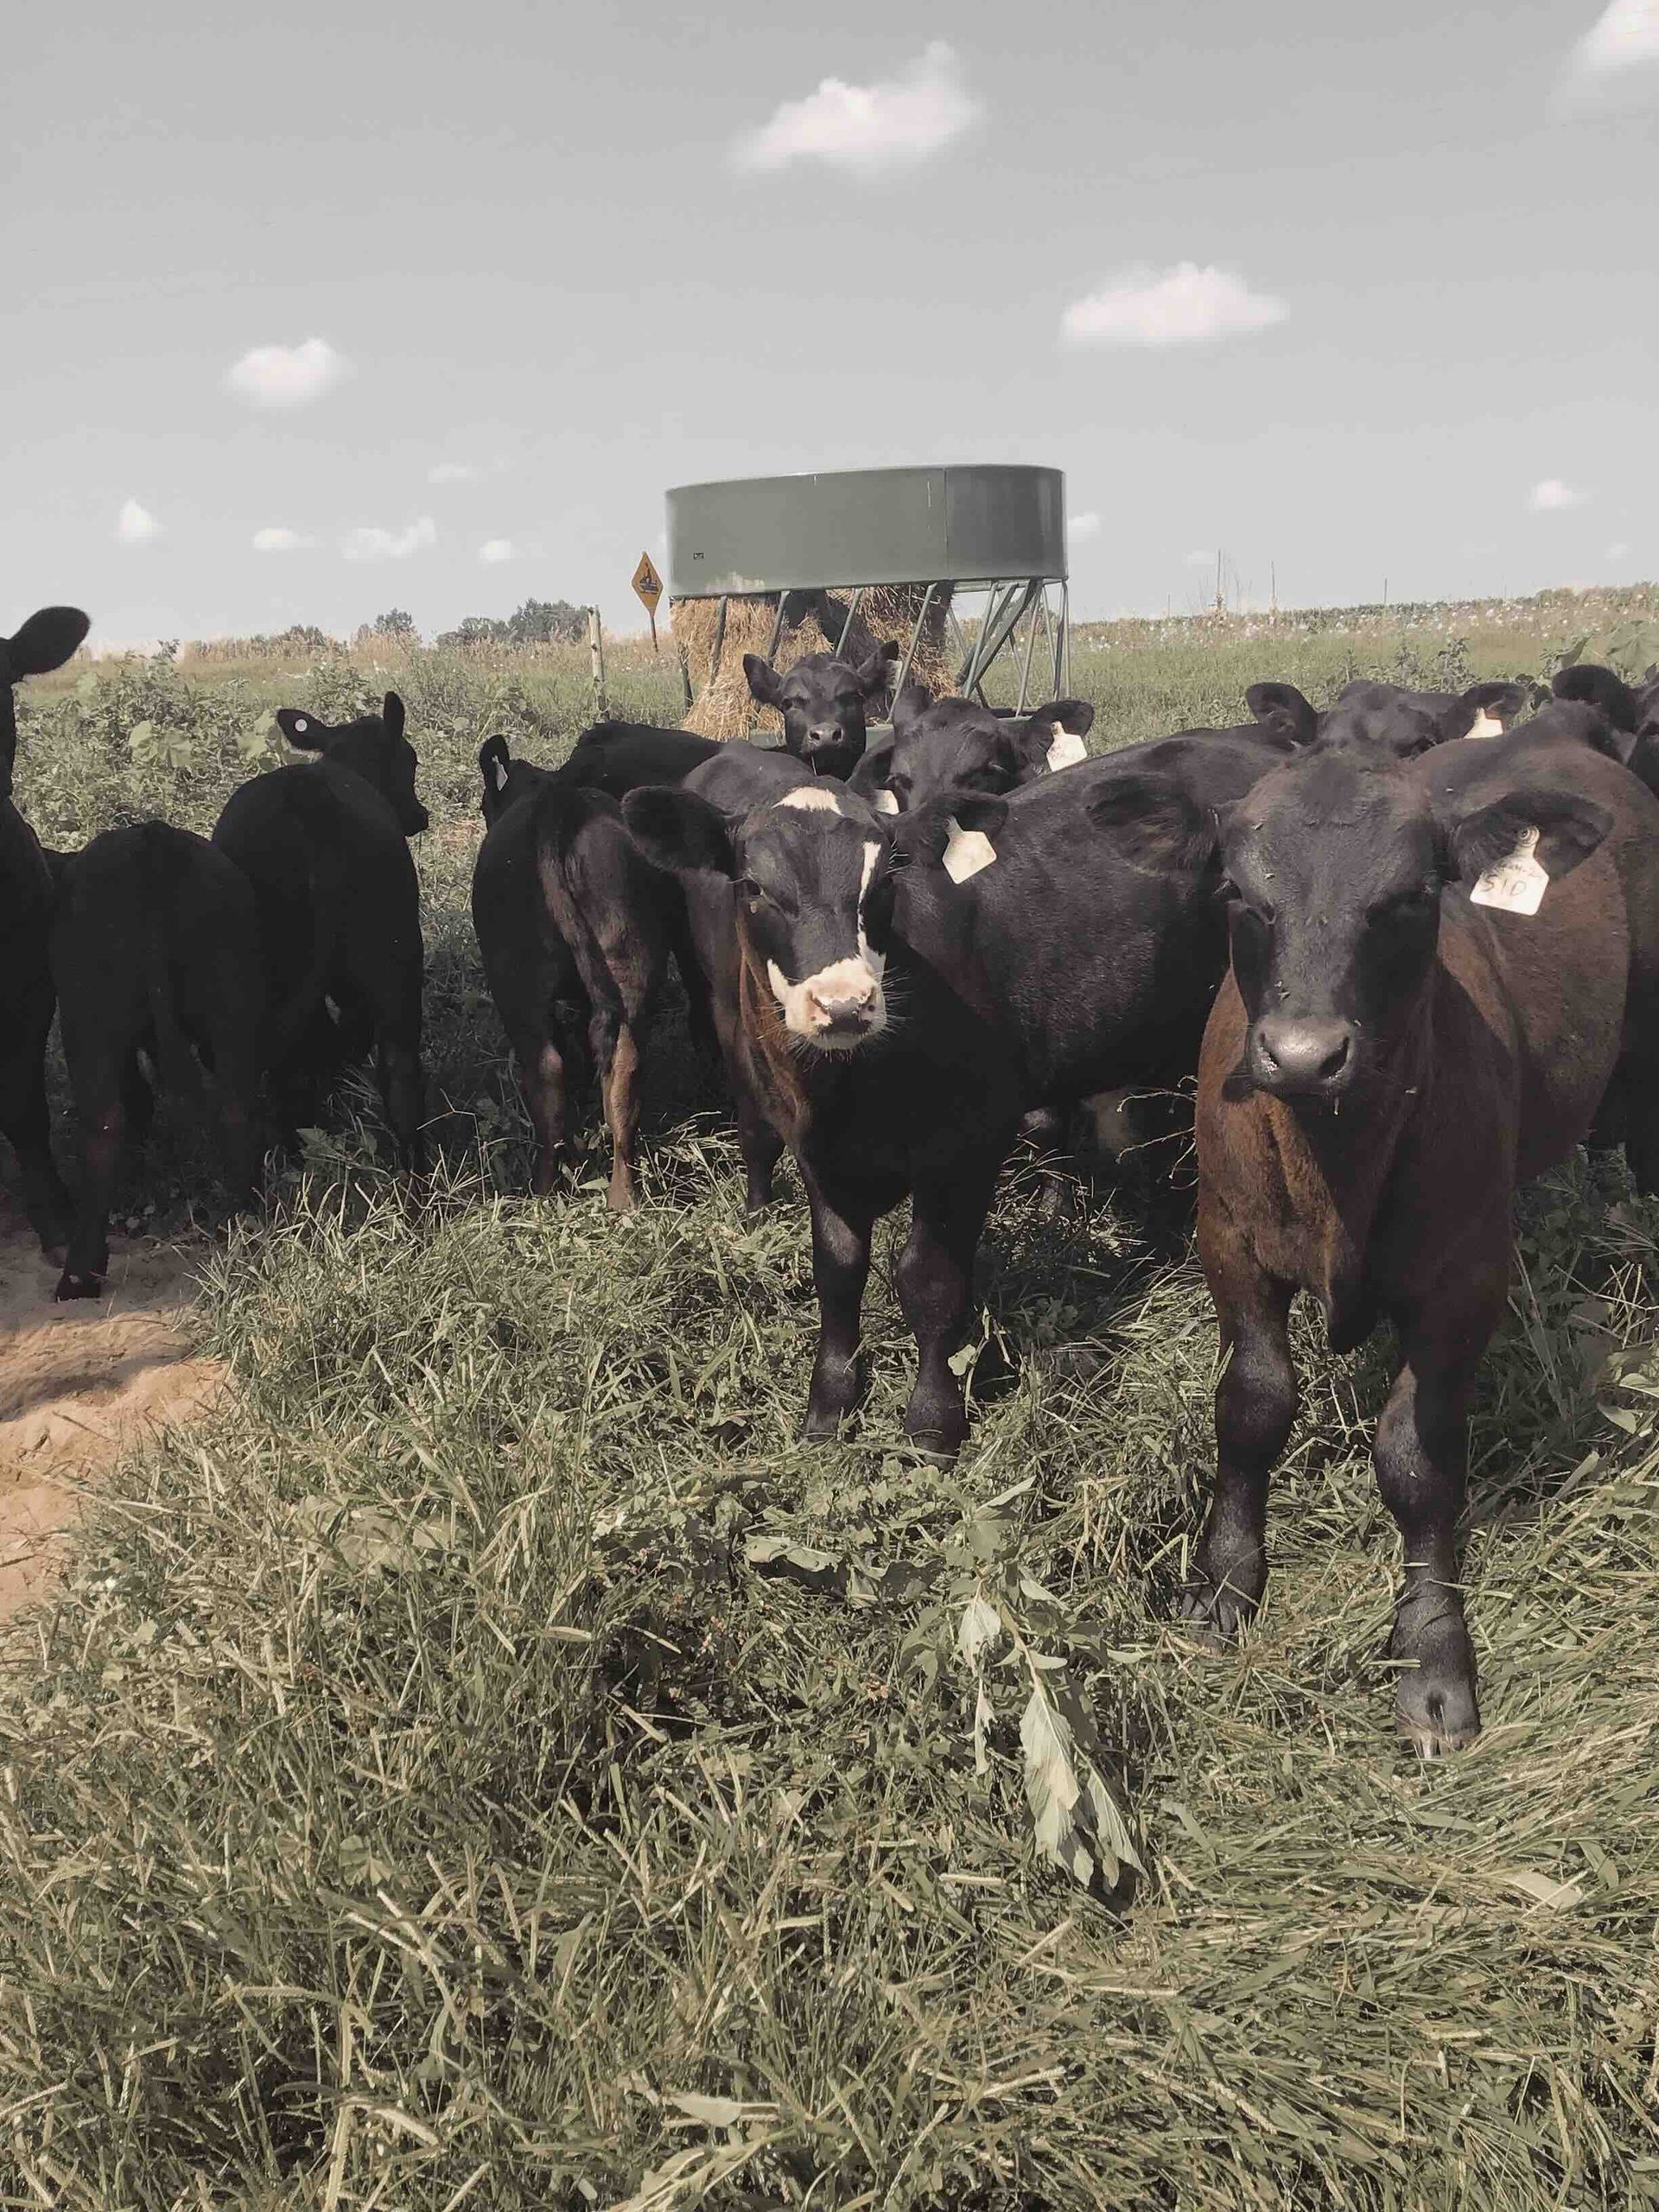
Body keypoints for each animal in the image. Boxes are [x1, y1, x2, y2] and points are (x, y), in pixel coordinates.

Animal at [50, 824, 265, 1300]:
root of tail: (153, 839)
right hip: (230, 1004)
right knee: (236, 1111)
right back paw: (248, 1232)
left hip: (87, 1015)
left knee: (104, 1124)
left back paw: (79, 1275)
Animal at [472, 739, 682, 1209]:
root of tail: (560, 809)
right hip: (631, 967)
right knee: (623, 1071)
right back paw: (623, 1197)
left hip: (516, 986)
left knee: (547, 1072)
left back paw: (543, 1191)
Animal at [1173, 730, 1659, 1751]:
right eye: (1238, 891)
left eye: (1407, 896)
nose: (1305, 1053)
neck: (1335, 1160)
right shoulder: (1228, 1239)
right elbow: (1252, 1405)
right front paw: (1225, 1577)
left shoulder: (1462, 1279)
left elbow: (1416, 1460)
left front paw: (1433, 1653)